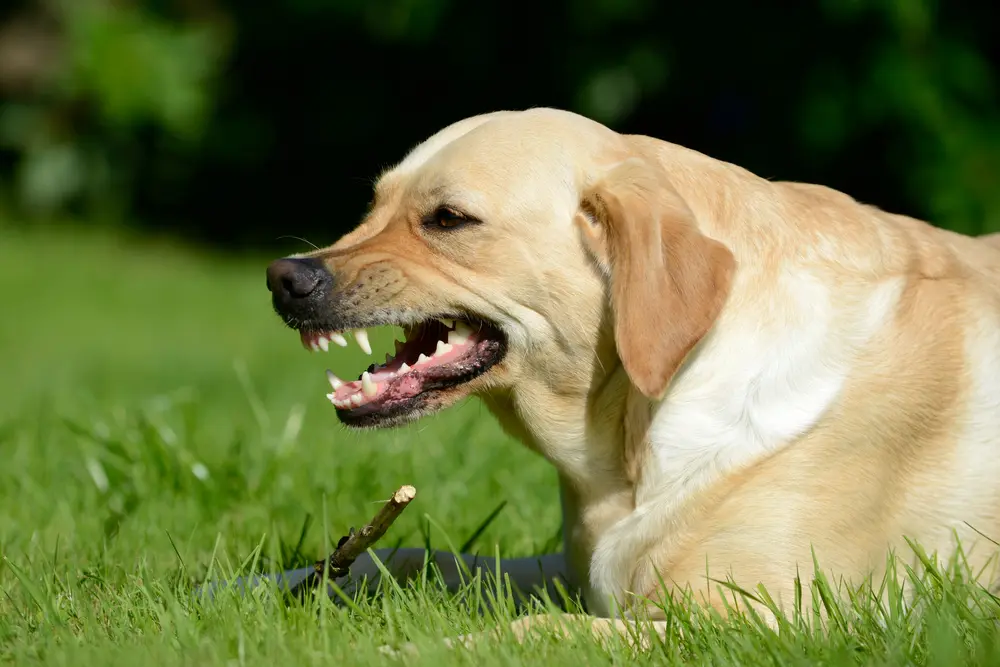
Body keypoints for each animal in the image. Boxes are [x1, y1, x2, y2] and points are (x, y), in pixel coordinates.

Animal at [264, 107, 1000, 648]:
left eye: (449, 219)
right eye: (374, 204)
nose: (284, 278)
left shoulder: (777, 622)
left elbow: (537, 630)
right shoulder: (573, 569)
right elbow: (408, 555)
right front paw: (263, 587)